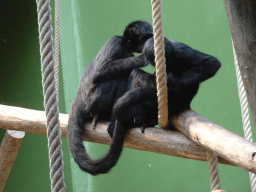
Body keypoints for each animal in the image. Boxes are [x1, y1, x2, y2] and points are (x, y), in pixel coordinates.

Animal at [67, 20, 153, 175]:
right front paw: (143, 58)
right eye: (146, 38)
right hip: (96, 100)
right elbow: (99, 72)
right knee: (122, 77)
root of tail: (78, 100)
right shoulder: (116, 41)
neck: (125, 45)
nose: (150, 40)